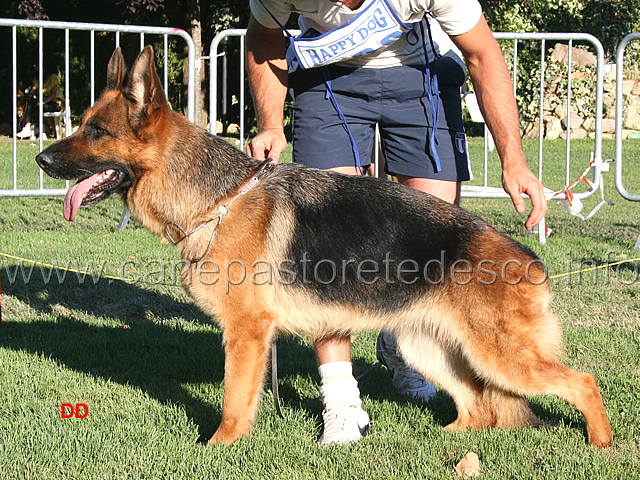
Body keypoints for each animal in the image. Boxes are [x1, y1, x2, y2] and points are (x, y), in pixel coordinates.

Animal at [37, 47, 612, 448]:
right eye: (82, 125)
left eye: (96, 131)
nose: (42, 159)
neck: (215, 200)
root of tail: (528, 260)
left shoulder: (246, 335)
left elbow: (232, 401)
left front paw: (217, 447)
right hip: (430, 349)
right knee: (479, 407)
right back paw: (446, 441)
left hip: (501, 357)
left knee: (582, 382)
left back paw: (601, 444)